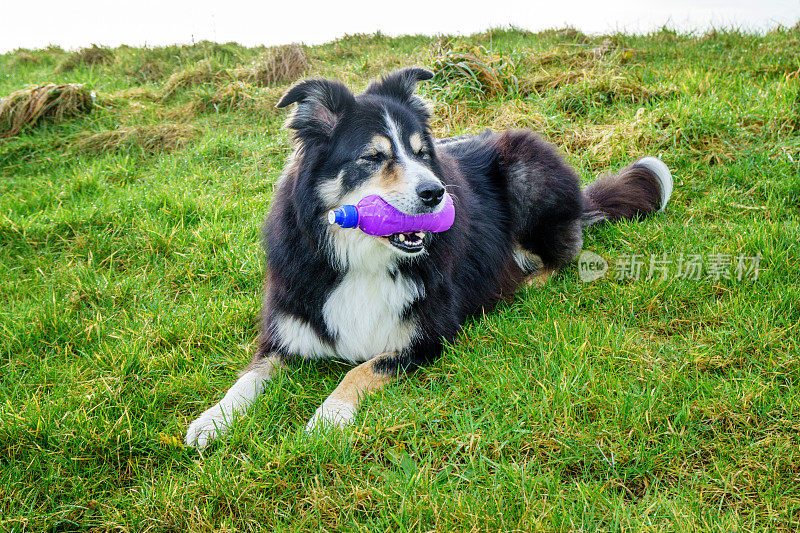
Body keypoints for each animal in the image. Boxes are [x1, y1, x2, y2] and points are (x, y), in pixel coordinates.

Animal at [184, 67, 672, 448]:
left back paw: (522, 281)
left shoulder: (428, 336)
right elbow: (247, 379)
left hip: (526, 170)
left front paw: (328, 417)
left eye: (421, 153)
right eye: (373, 156)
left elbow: (359, 370)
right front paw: (211, 420)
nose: (436, 194)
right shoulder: (287, 328)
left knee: (561, 254)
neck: (363, 258)